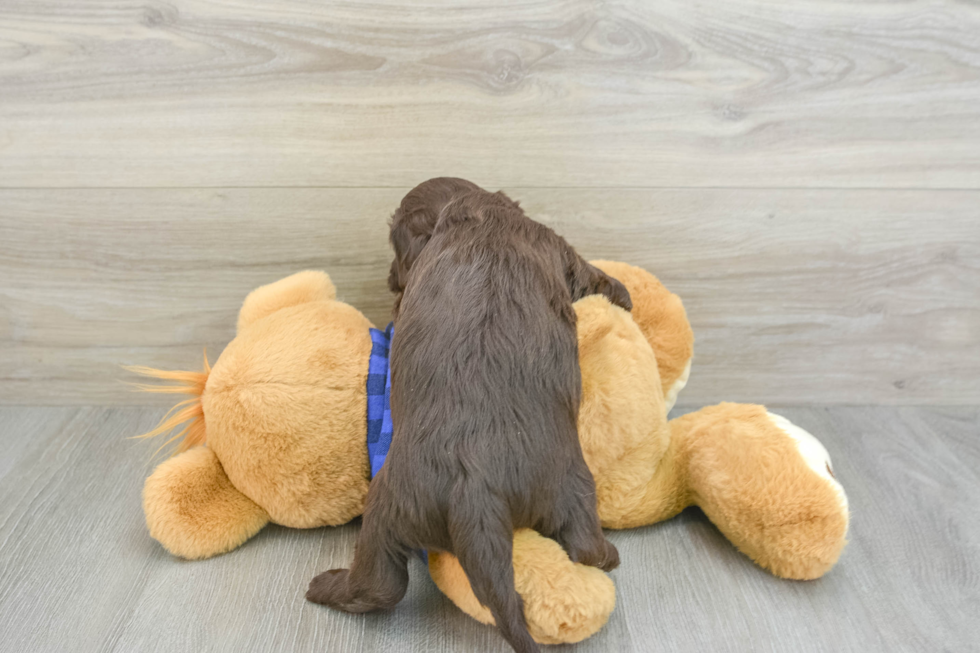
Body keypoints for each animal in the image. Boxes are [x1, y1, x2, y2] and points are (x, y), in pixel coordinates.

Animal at [306, 178, 628, 652]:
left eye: (395, 245)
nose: (389, 278)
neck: (482, 215)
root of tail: (474, 491)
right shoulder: (557, 247)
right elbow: (593, 274)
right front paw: (625, 296)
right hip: (572, 485)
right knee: (586, 546)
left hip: (392, 504)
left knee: (381, 583)